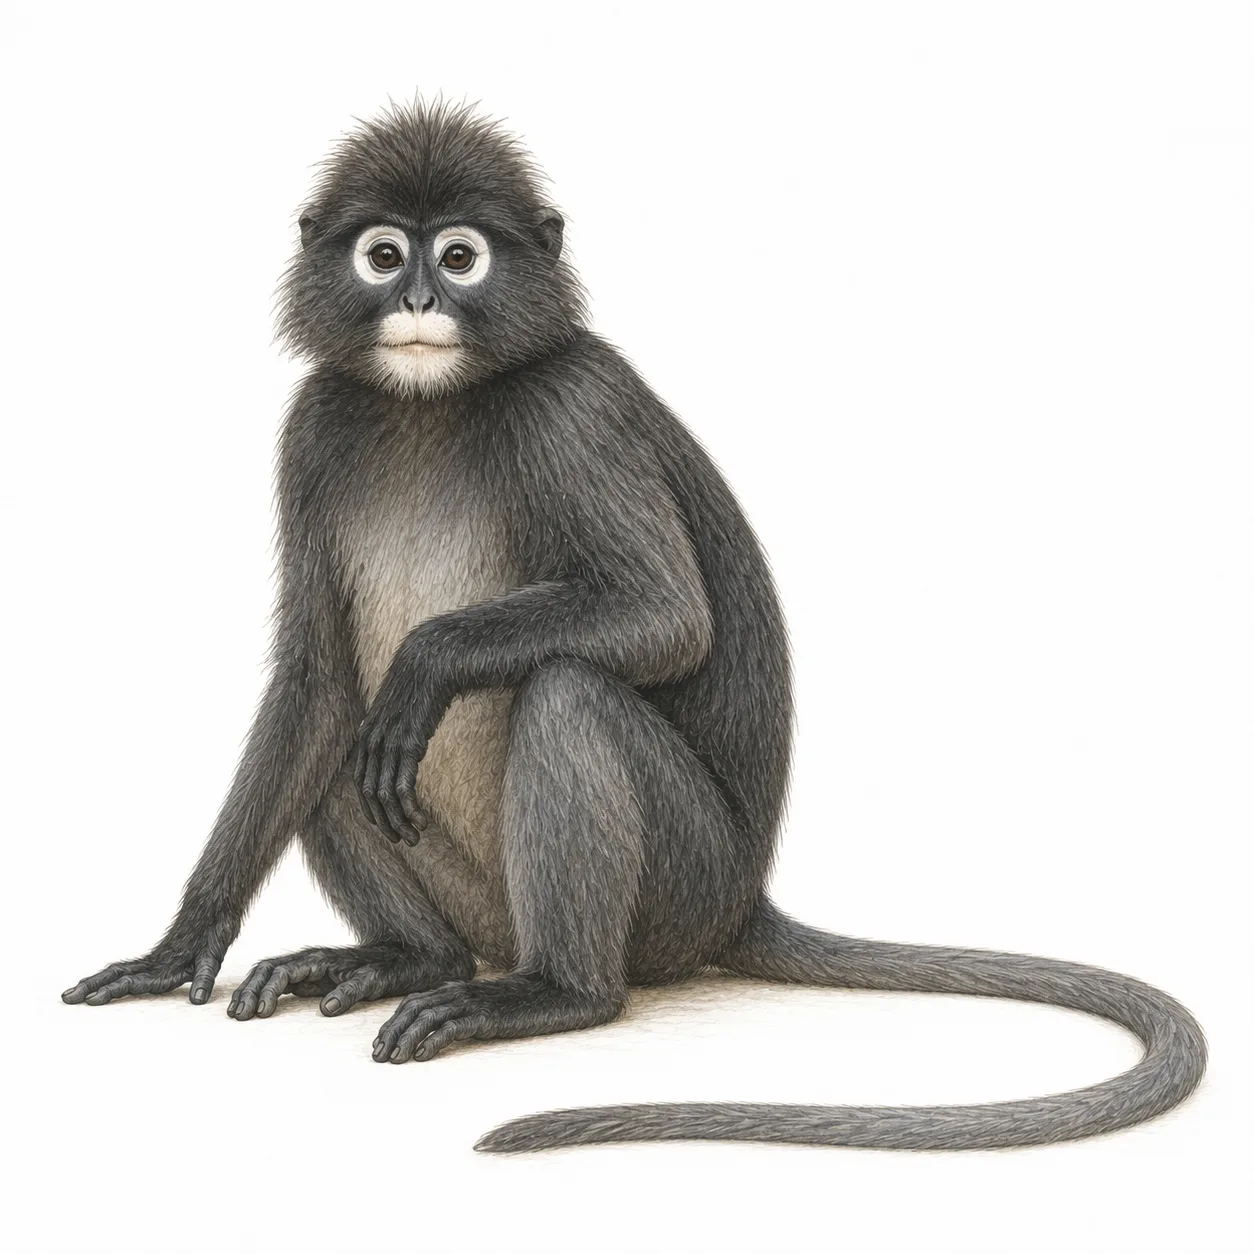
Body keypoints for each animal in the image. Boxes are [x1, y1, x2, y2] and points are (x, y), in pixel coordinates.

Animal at [62, 100, 1206, 1153]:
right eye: (383, 255)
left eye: (460, 257)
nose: (421, 298)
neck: (430, 404)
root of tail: (744, 903)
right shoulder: (312, 426)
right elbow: (316, 681)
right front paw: (178, 947)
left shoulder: (575, 405)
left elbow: (661, 620)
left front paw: (429, 664)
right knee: (347, 734)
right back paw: (406, 958)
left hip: (682, 890)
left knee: (562, 693)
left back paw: (553, 992)